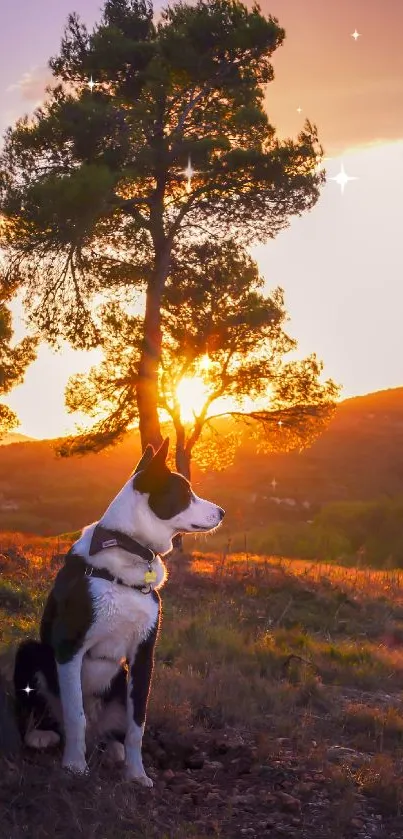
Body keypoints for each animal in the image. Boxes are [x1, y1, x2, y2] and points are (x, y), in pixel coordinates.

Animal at [14, 440, 224, 788]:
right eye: (185, 492)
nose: (223, 512)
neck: (128, 549)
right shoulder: (69, 647)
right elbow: (75, 715)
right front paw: (74, 766)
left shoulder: (142, 656)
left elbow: (137, 725)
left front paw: (136, 774)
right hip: (30, 651)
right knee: (46, 714)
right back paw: (42, 735)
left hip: (119, 680)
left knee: (111, 732)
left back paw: (113, 748)